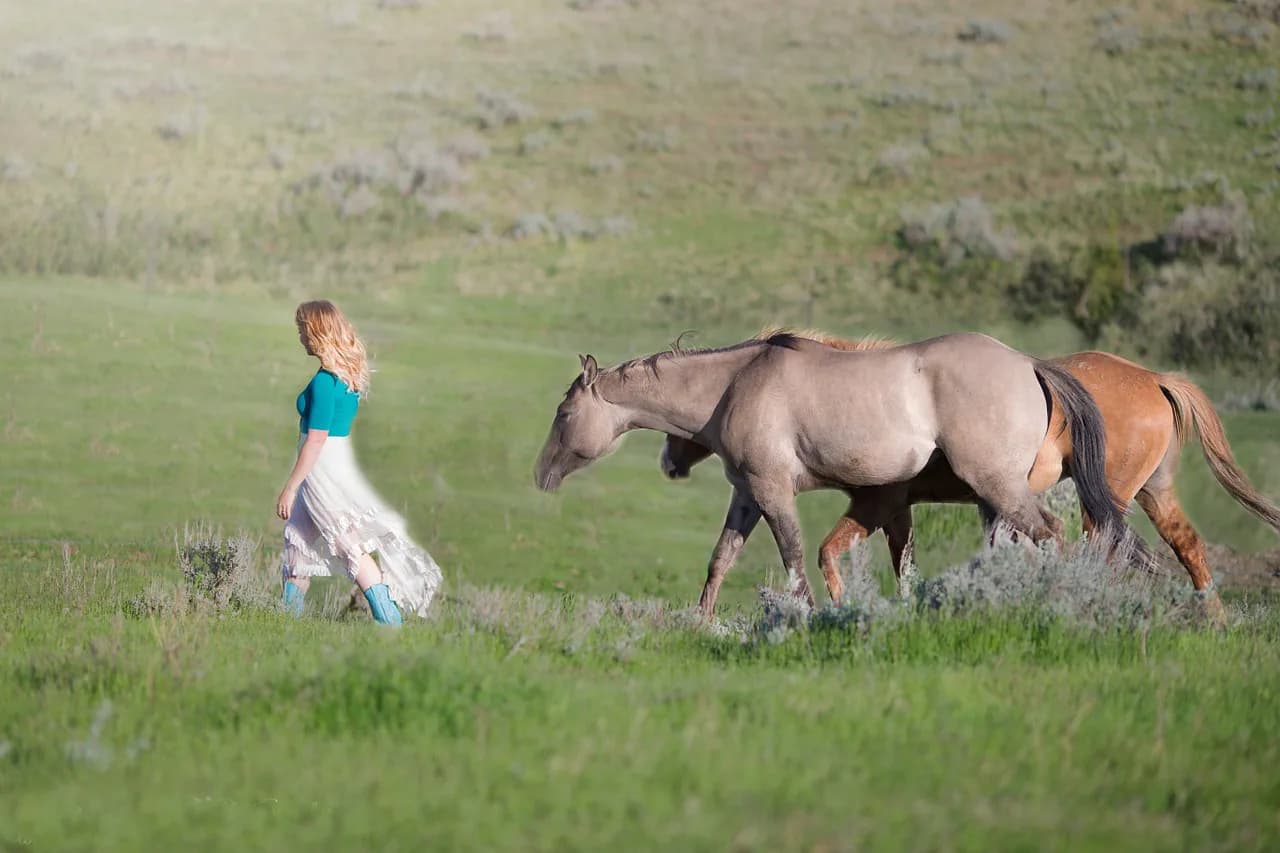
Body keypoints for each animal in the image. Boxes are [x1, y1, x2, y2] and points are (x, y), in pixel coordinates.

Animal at [534, 331, 1139, 615]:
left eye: (563, 415)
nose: (541, 476)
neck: (737, 385)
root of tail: (1030, 364)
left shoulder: (775, 492)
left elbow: (795, 559)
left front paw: (806, 618)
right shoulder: (748, 495)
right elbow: (720, 561)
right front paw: (700, 622)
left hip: (999, 488)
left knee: (1052, 535)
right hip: (994, 497)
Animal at [661, 337, 1280, 616]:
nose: (669, 462)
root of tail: (1152, 378)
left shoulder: (880, 502)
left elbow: (840, 553)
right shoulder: (899, 508)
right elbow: (900, 562)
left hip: (1106, 498)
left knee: (1103, 548)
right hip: (1151, 491)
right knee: (1186, 546)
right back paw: (1212, 620)